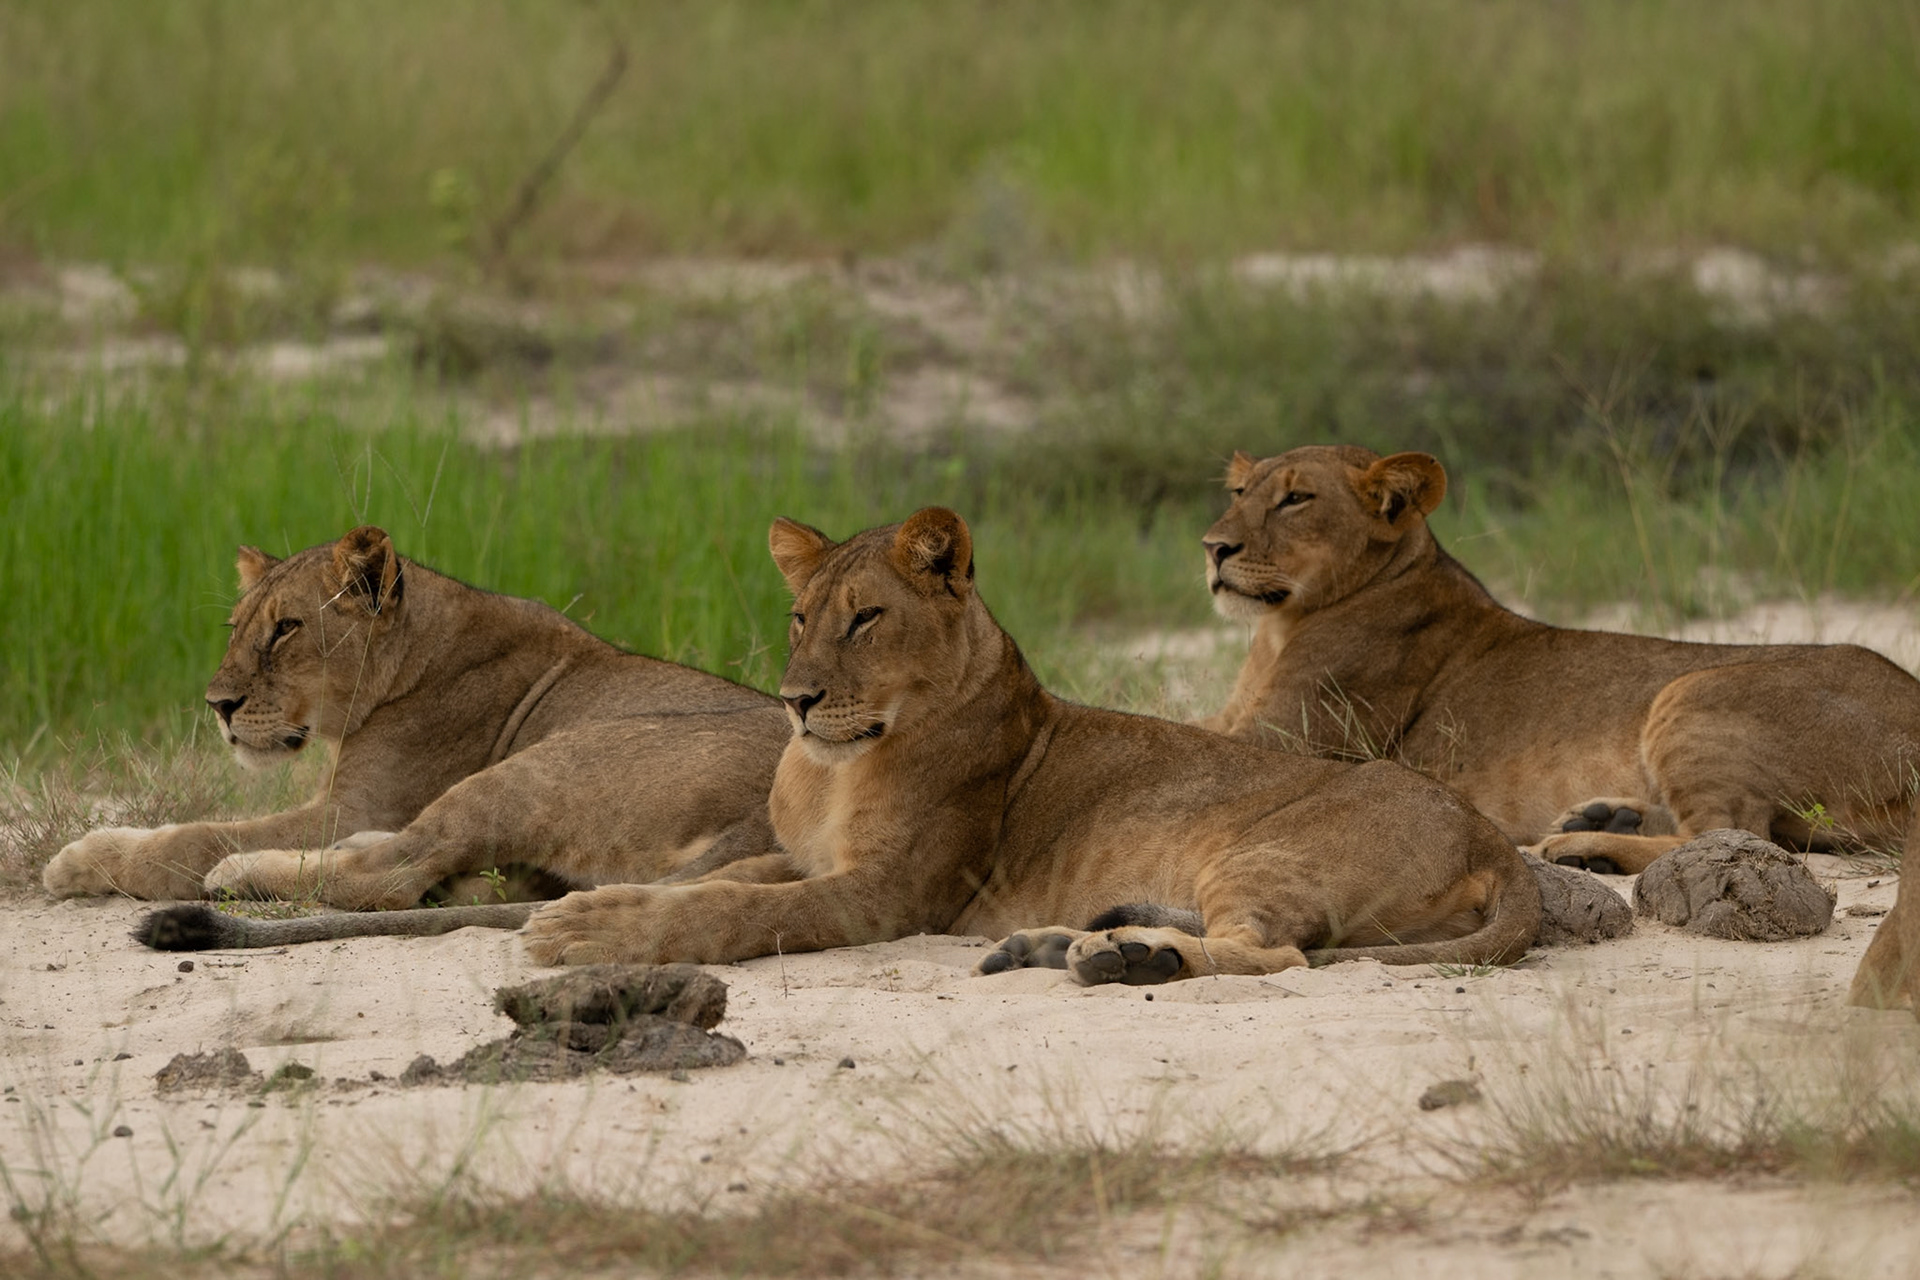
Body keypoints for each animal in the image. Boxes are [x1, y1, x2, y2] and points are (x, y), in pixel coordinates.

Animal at [46, 525, 789, 912]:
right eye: (237, 628)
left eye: (286, 629)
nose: (217, 706)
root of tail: (765, 823)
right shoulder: (353, 806)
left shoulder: (355, 803)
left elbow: (196, 835)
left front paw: (84, 859)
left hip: (550, 763)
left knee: (395, 873)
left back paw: (244, 872)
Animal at [511, 507, 1539, 983]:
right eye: (801, 618)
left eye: (866, 620)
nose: (796, 700)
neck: (831, 770)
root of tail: (1491, 837)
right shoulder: (808, 858)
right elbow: (720, 883)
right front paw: (604, 902)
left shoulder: (892, 893)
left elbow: (733, 911)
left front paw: (587, 932)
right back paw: (1073, 945)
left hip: (1261, 854)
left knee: (1275, 957)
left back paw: (1124, 961)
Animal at [1199, 445, 1920, 882]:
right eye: (1239, 491)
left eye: (1296, 499)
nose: (1212, 547)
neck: (1276, 629)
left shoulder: (1287, 740)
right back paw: (1601, 818)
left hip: (1692, 691)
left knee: (1738, 835)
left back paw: (1579, 847)